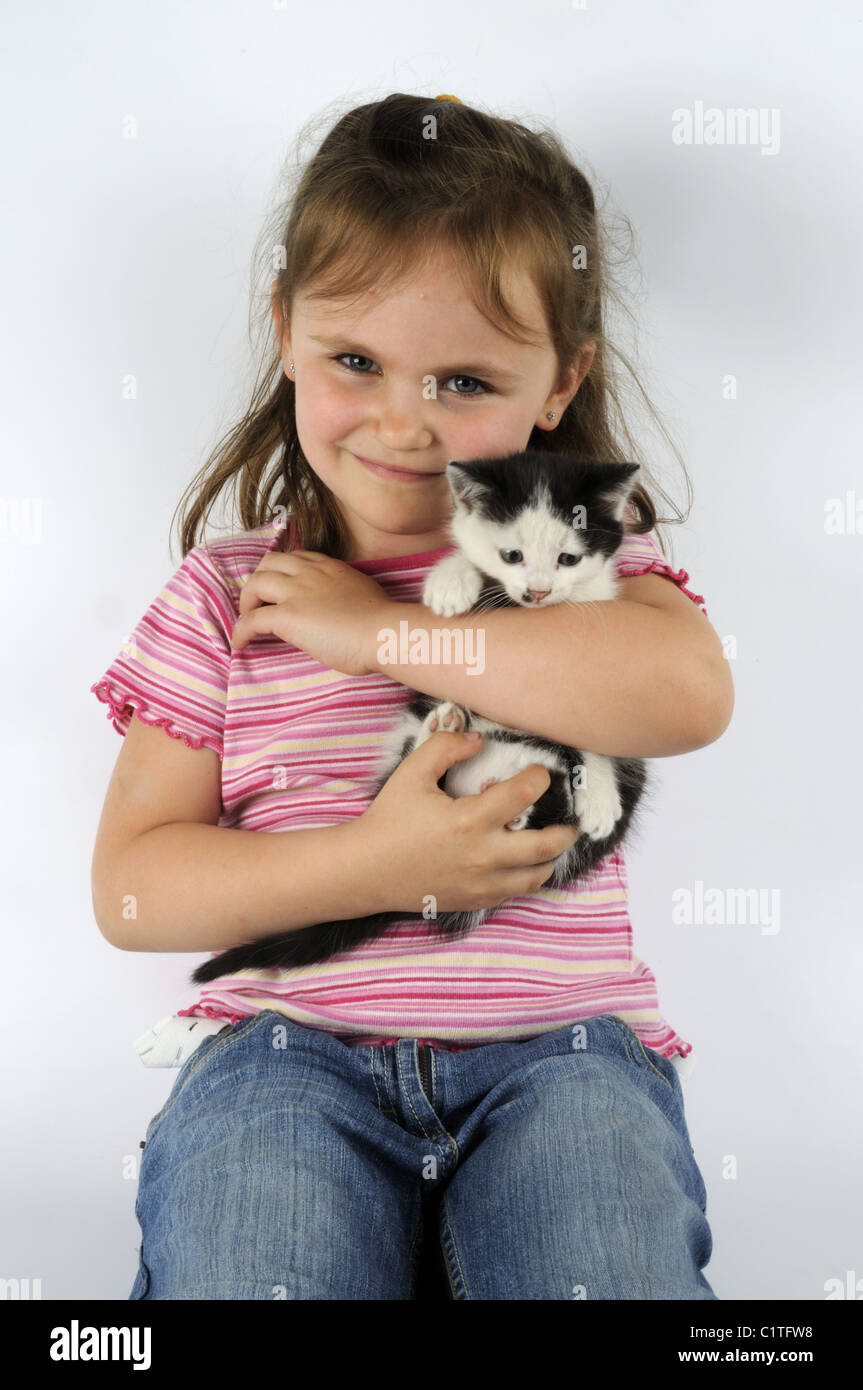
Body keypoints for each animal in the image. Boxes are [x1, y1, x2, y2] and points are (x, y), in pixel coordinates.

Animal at [188, 450, 644, 984]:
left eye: (568, 559)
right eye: (511, 555)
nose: (537, 592)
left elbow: (599, 727)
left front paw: (600, 796)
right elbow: (465, 554)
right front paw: (453, 580)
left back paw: (525, 808)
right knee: (414, 760)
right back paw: (445, 733)